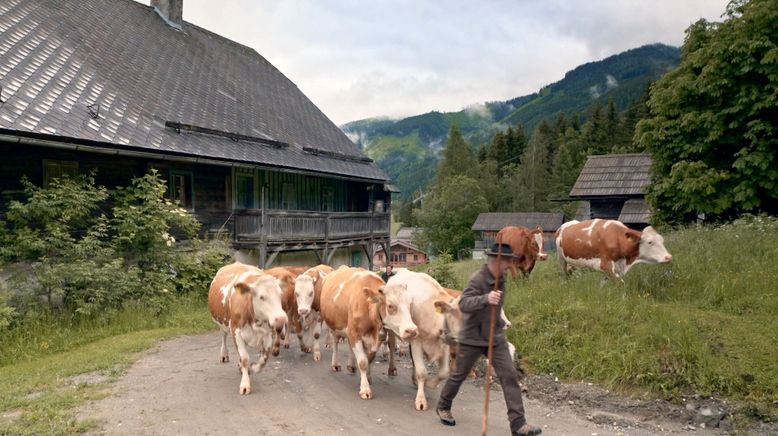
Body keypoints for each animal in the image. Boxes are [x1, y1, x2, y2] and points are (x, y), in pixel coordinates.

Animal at [208, 262, 286, 396]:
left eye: (280, 295)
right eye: (261, 297)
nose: (281, 319)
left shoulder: (268, 334)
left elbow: (264, 358)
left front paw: (253, 367)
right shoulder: (236, 332)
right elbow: (244, 358)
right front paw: (245, 384)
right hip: (223, 323)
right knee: (223, 336)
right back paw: (224, 354)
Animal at [316, 264, 416, 400]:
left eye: (410, 304)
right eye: (390, 305)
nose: (412, 330)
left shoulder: (375, 338)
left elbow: (370, 359)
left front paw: (368, 378)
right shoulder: (354, 334)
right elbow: (363, 362)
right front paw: (365, 389)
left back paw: (351, 366)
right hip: (335, 326)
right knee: (335, 343)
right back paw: (335, 364)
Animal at [388, 270, 460, 410]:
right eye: (454, 313)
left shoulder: (444, 345)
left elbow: (444, 373)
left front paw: (428, 383)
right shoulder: (417, 342)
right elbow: (422, 372)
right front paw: (421, 400)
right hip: (392, 330)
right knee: (391, 345)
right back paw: (392, 369)